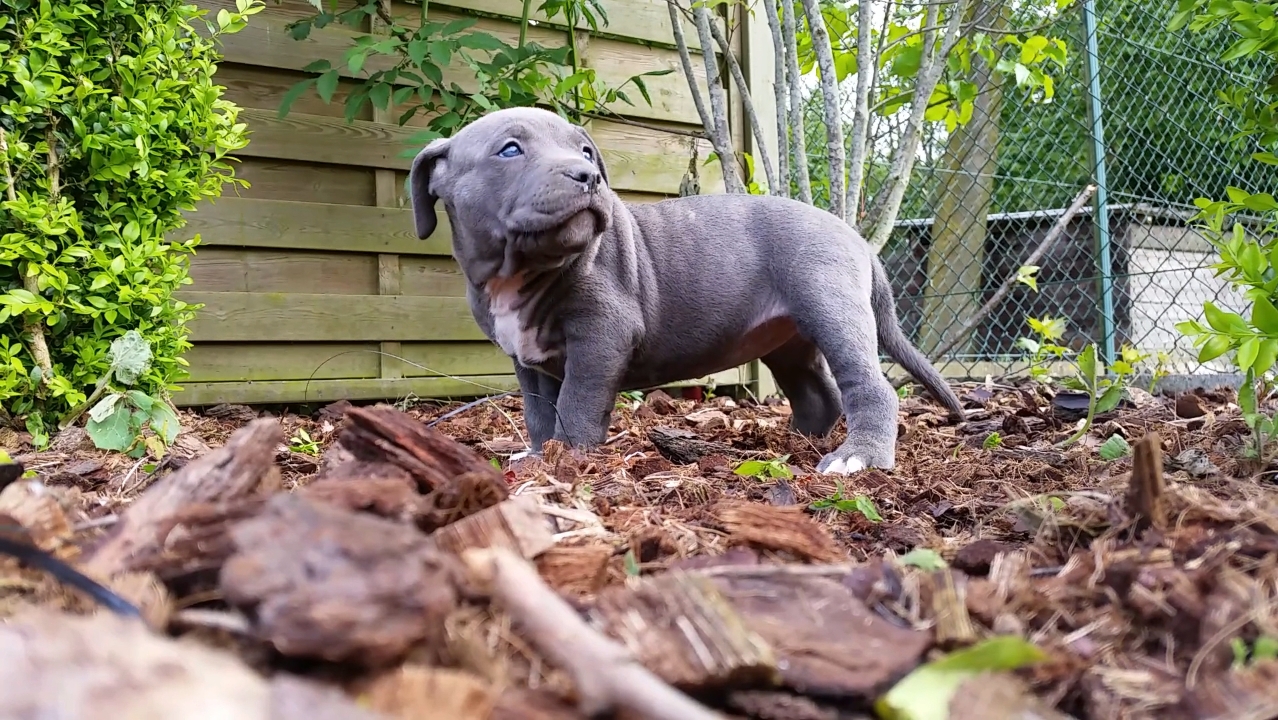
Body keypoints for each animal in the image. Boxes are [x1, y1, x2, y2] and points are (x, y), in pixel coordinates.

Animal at [408, 106, 961, 475]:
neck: (520, 272)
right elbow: (540, 411)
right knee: (817, 393)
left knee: (870, 385)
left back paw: (855, 458)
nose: (588, 175)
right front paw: (541, 453)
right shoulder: (527, 357)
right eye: (509, 149)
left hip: (830, 304)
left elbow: (577, 401)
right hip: (787, 339)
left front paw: (570, 457)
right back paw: (791, 442)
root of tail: (855, 237)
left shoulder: (600, 336)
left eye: (586, 151)